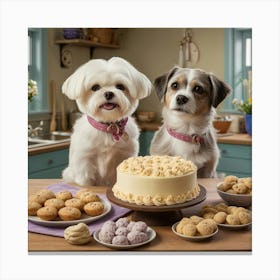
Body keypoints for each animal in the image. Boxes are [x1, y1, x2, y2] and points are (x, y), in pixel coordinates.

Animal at [62, 57, 152, 186]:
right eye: (95, 87)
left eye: (120, 86)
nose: (108, 93)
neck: (109, 127)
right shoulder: (85, 158)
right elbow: (86, 180)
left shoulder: (124, 154)